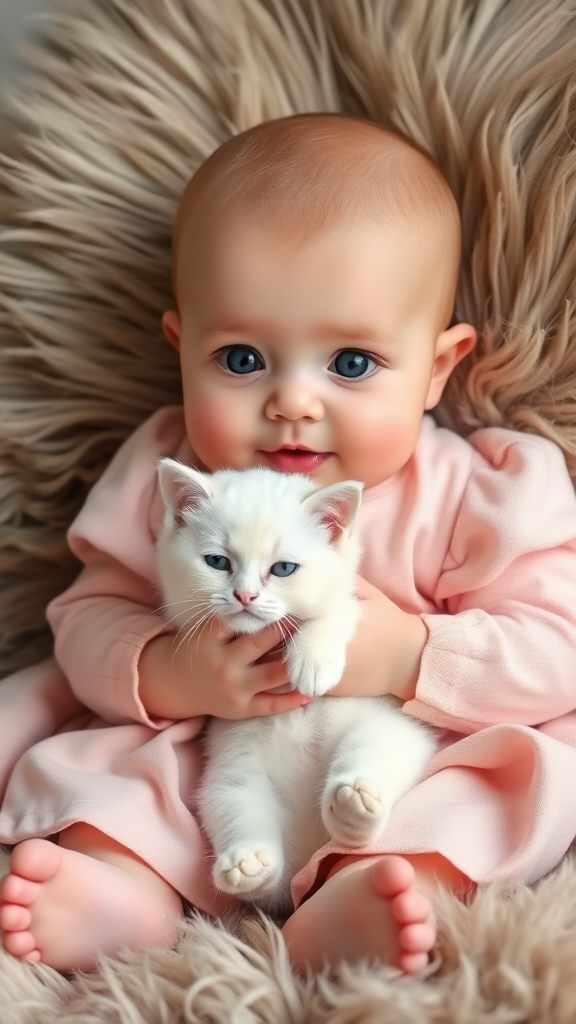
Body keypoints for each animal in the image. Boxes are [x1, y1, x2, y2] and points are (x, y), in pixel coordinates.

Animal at [155, 460, 434, 917]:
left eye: (283, 569)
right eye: (217, 562)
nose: (245, 595)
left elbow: (340, 606)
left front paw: (312, 659)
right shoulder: (234, 766)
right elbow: (236, 807)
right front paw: (248, 865)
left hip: (383, 729)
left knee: (374, 757)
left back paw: (354, 805)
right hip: (234, 774)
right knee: (239, 814)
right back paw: (250, 862)